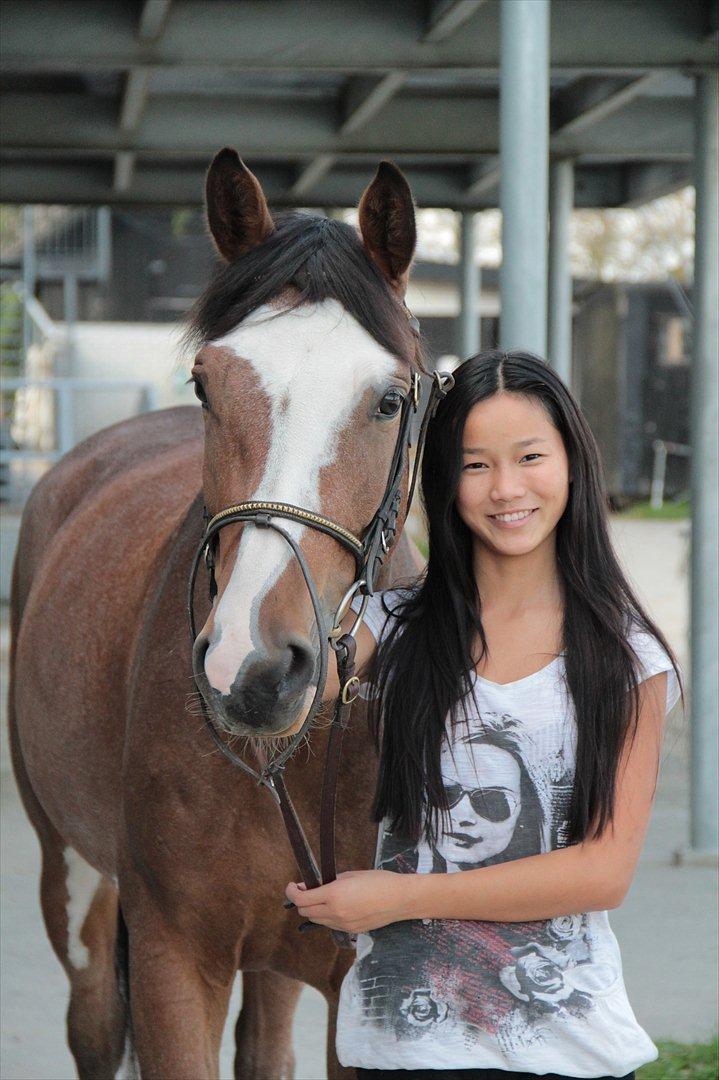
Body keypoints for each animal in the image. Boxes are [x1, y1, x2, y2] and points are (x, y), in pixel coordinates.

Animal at [8, 152, 425, 1080]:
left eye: (387, 401)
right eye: (207, 383)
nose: (254, 668)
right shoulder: (174, 961)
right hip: (73, 878)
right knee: (94, 1023)